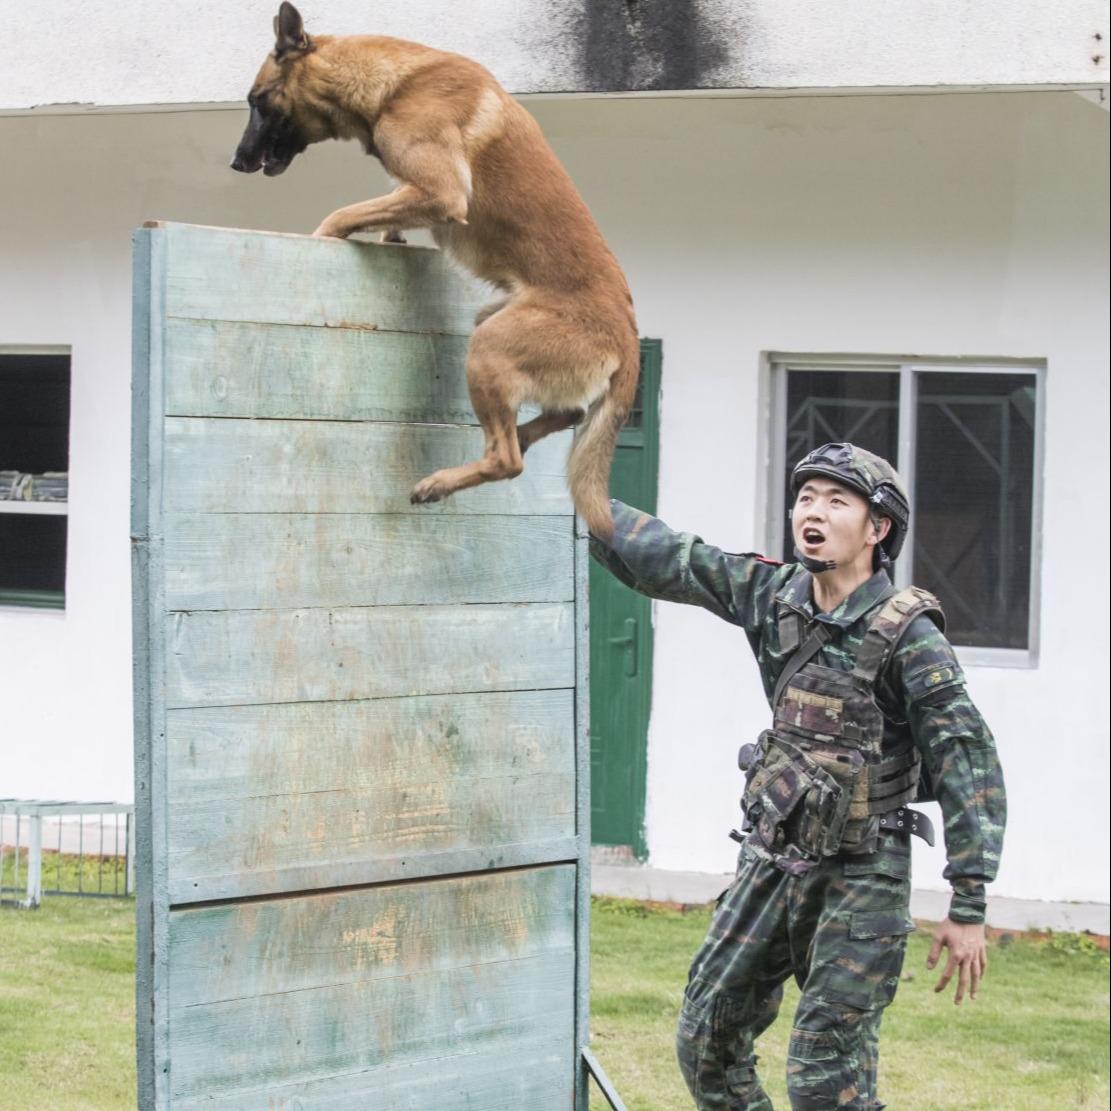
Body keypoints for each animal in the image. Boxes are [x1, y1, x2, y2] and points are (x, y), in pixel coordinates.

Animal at [229, 2, 639, 535]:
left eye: (258, 101)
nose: (237, 162)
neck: (395, 85)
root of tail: (630, 339)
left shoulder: (440, 193)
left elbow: (341, 214)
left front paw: (321, 238)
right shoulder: (413, 194)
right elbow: (380, 217)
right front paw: (387, 237)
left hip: (489, 347)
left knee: (507, 458)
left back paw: (440, 483)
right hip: (492, 319)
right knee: (565, 412)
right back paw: (525, 433)